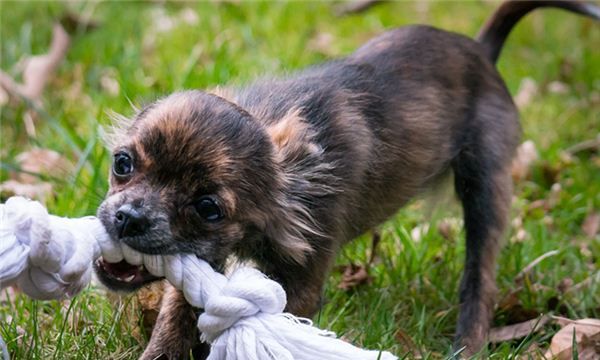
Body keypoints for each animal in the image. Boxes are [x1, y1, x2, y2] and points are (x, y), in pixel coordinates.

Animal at [94, 1, 600, 358]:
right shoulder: (205, 265)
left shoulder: (300, 283)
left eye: (207, 208)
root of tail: (482, 51)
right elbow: (173, 322)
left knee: (481, 276)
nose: (128, 218)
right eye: (122, 163)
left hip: (486, 186)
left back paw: (467, 344)